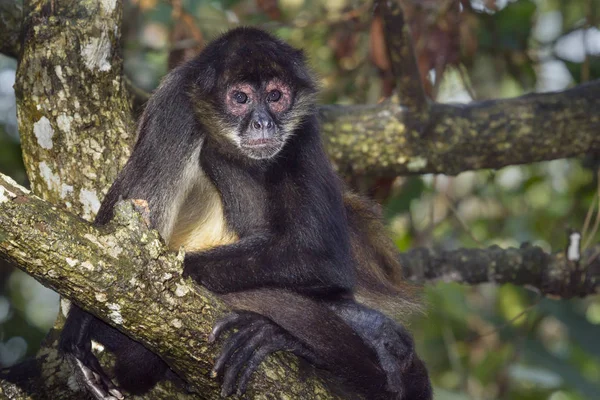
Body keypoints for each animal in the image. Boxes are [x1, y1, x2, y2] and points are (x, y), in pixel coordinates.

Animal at [58, 26, 432, 398]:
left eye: (276, 96)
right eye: (240, 99)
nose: (263, 123)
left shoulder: (305, 123)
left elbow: (319, 258)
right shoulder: (174, 105)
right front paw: (83, 318)